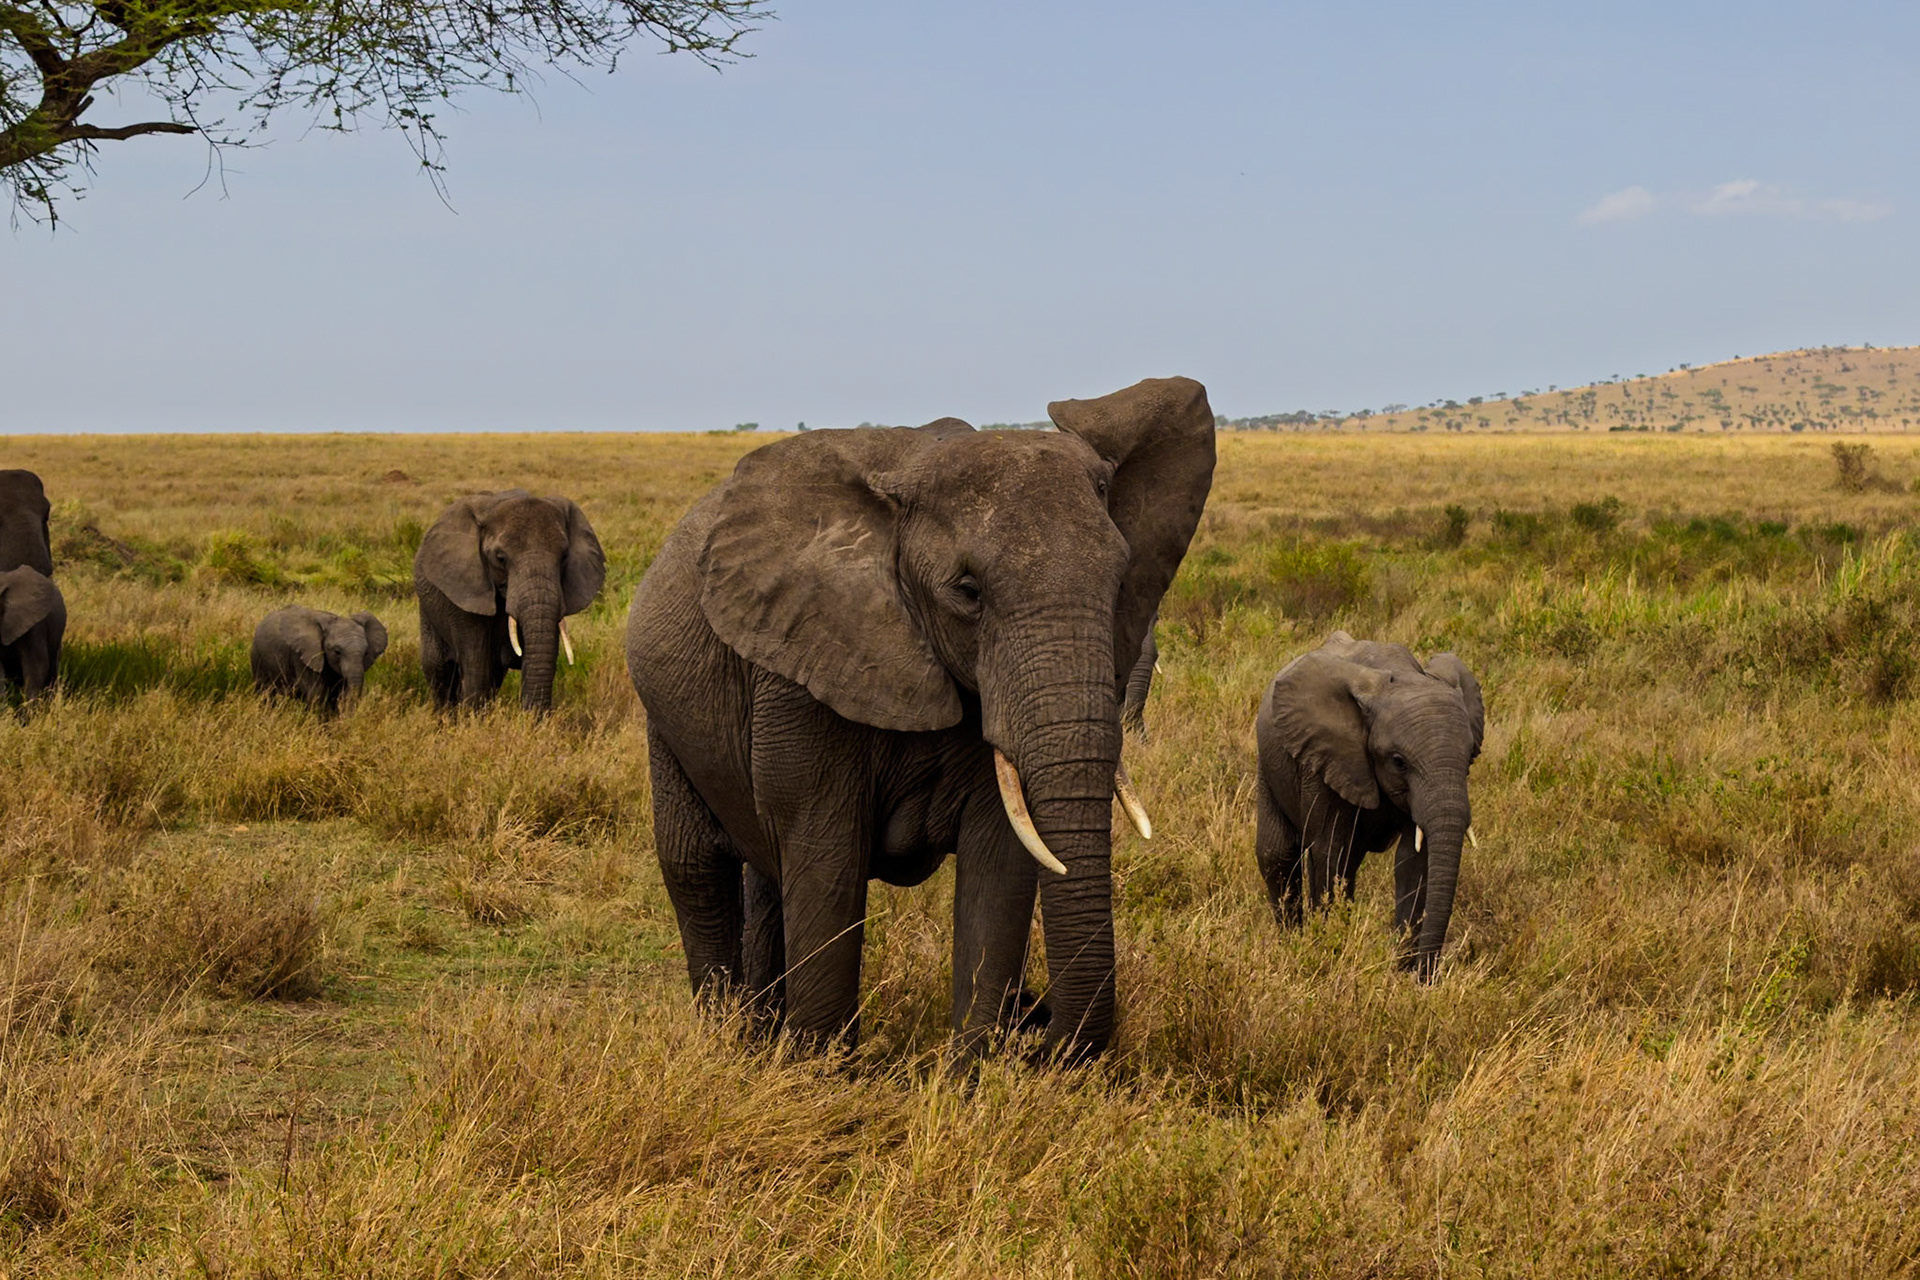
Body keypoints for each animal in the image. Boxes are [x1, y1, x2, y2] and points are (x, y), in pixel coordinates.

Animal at [251, 606, 390, 713]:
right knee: (265, 693)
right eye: (337, 652)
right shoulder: (303, 657)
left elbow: (337, 696)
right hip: (258, 657)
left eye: (366, 653)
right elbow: (316, 695)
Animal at [413, 490, 605, 712]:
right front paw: (473, 718)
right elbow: (476, 665)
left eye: (564, 556)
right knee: (438, 669)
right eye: (500, 558)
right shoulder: (464, 592)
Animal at [626, 377, 1216, 1061]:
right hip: (664, 716)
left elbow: (1000, 867)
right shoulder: (800, 672)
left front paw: (970, 1073)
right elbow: (825, 859)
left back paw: (761, 1033)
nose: (1035, 1020)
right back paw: (730, 1041)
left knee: (765, 874)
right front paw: (820, 1073)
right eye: (968, 591)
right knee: (697, 866)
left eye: (1122, 584)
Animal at [1254, 630, 1484, 981]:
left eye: (1470, 756)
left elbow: (1414, 860)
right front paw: (1329, 954)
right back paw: (1292, 944)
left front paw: (1402, 978)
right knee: (1279, 854)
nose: (1427, 976)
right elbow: (1329, 851)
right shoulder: (1326, 760)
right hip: (1269, 765)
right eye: (1399, 761)